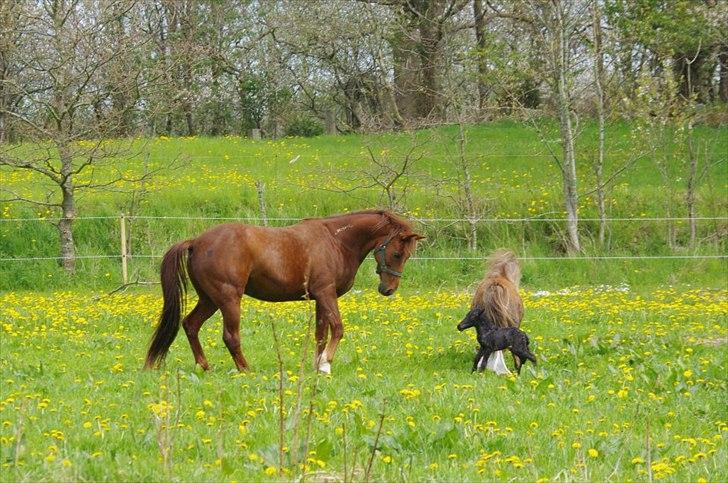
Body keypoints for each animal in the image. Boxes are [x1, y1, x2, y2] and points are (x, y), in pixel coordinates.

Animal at [143, 211, 424, 374]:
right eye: (397, 253)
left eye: (406, 255)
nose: (388, 289)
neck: (335, 240)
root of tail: (196, 242)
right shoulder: (326, 294)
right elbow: (338, 328)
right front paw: (325, 364)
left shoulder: (319, 298)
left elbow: (320, 334)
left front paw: (316, 365)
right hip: (228, 299)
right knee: (230, 336)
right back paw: (245, 370)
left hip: (209, 300)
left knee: (190, 325)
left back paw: (205, 366)